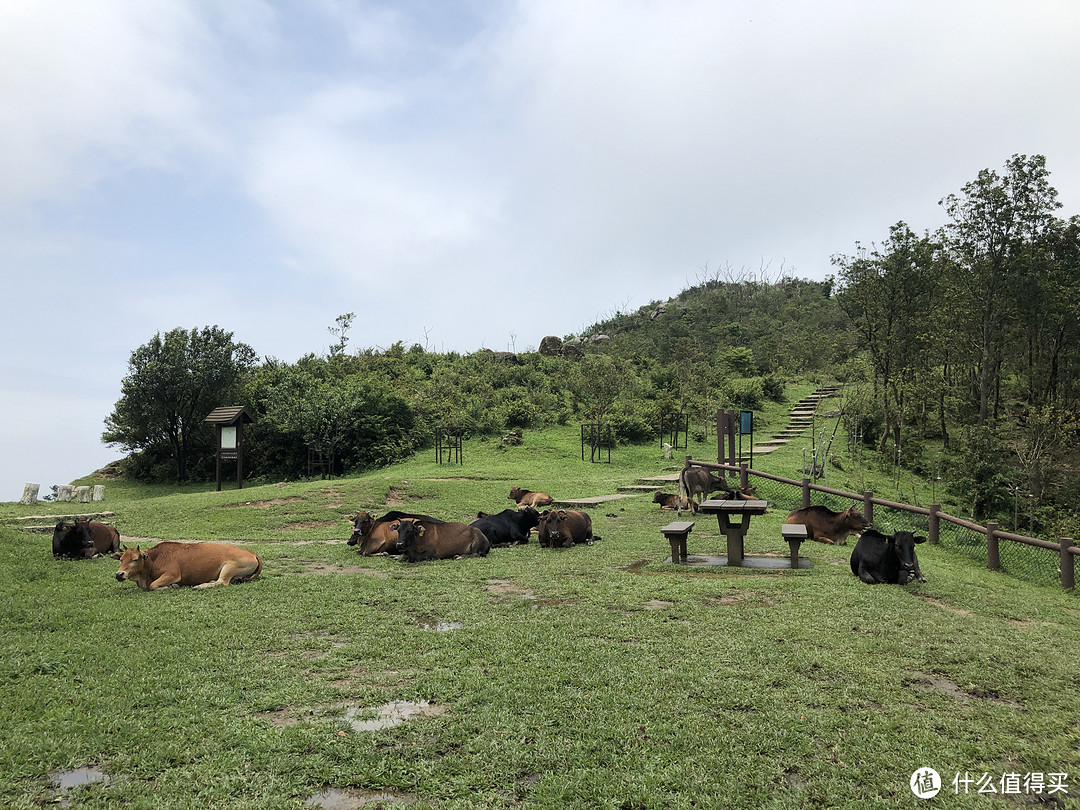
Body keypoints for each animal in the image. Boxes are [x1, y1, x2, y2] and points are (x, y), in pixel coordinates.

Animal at [115, 542, 262, 591]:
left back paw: (200, 586)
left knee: (222, 582)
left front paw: (172, 586)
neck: (154, 559)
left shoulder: (173, 574)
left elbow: (153, 585)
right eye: (121, 559)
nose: (119, 574)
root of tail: (253, 553)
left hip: (229, 567)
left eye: (134, 559)